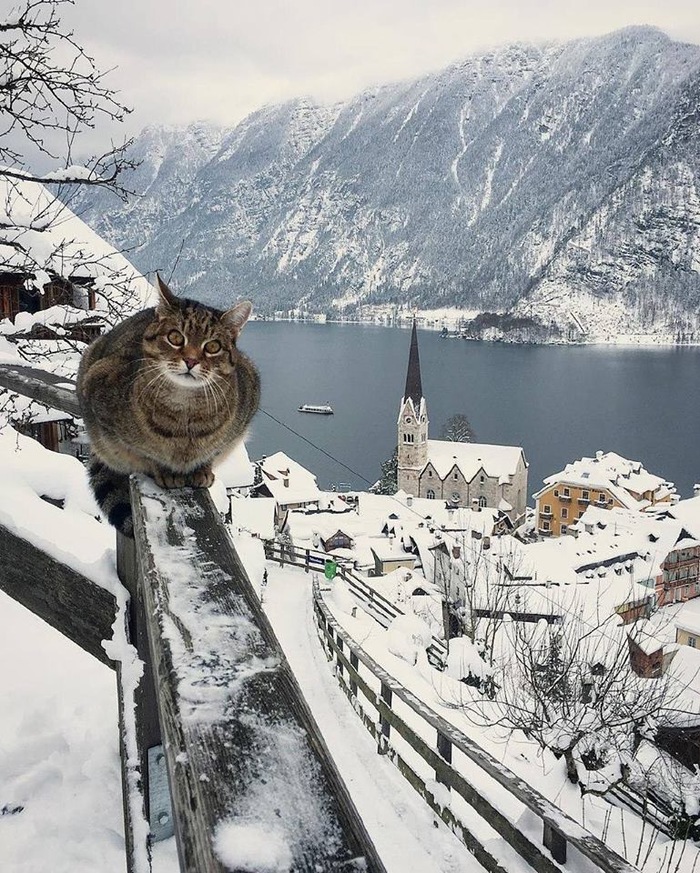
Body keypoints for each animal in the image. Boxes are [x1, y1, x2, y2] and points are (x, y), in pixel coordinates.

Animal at [76, 272, 262, 536]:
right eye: (175, 337)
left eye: (212, 346)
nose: (191, 360)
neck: (185, 413)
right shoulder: (99, 400)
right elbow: (143, 453)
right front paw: (163, 470)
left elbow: (213, 452)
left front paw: (202, 470)